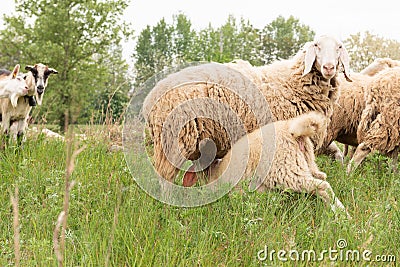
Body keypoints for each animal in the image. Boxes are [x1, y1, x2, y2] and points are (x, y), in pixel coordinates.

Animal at [143, 35, 350, 183]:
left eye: (339, 47)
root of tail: (150, 98)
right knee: (165, 179)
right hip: (175, 141)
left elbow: (336, 153)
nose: (329, 67)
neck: (294, 82)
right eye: (317, 45)